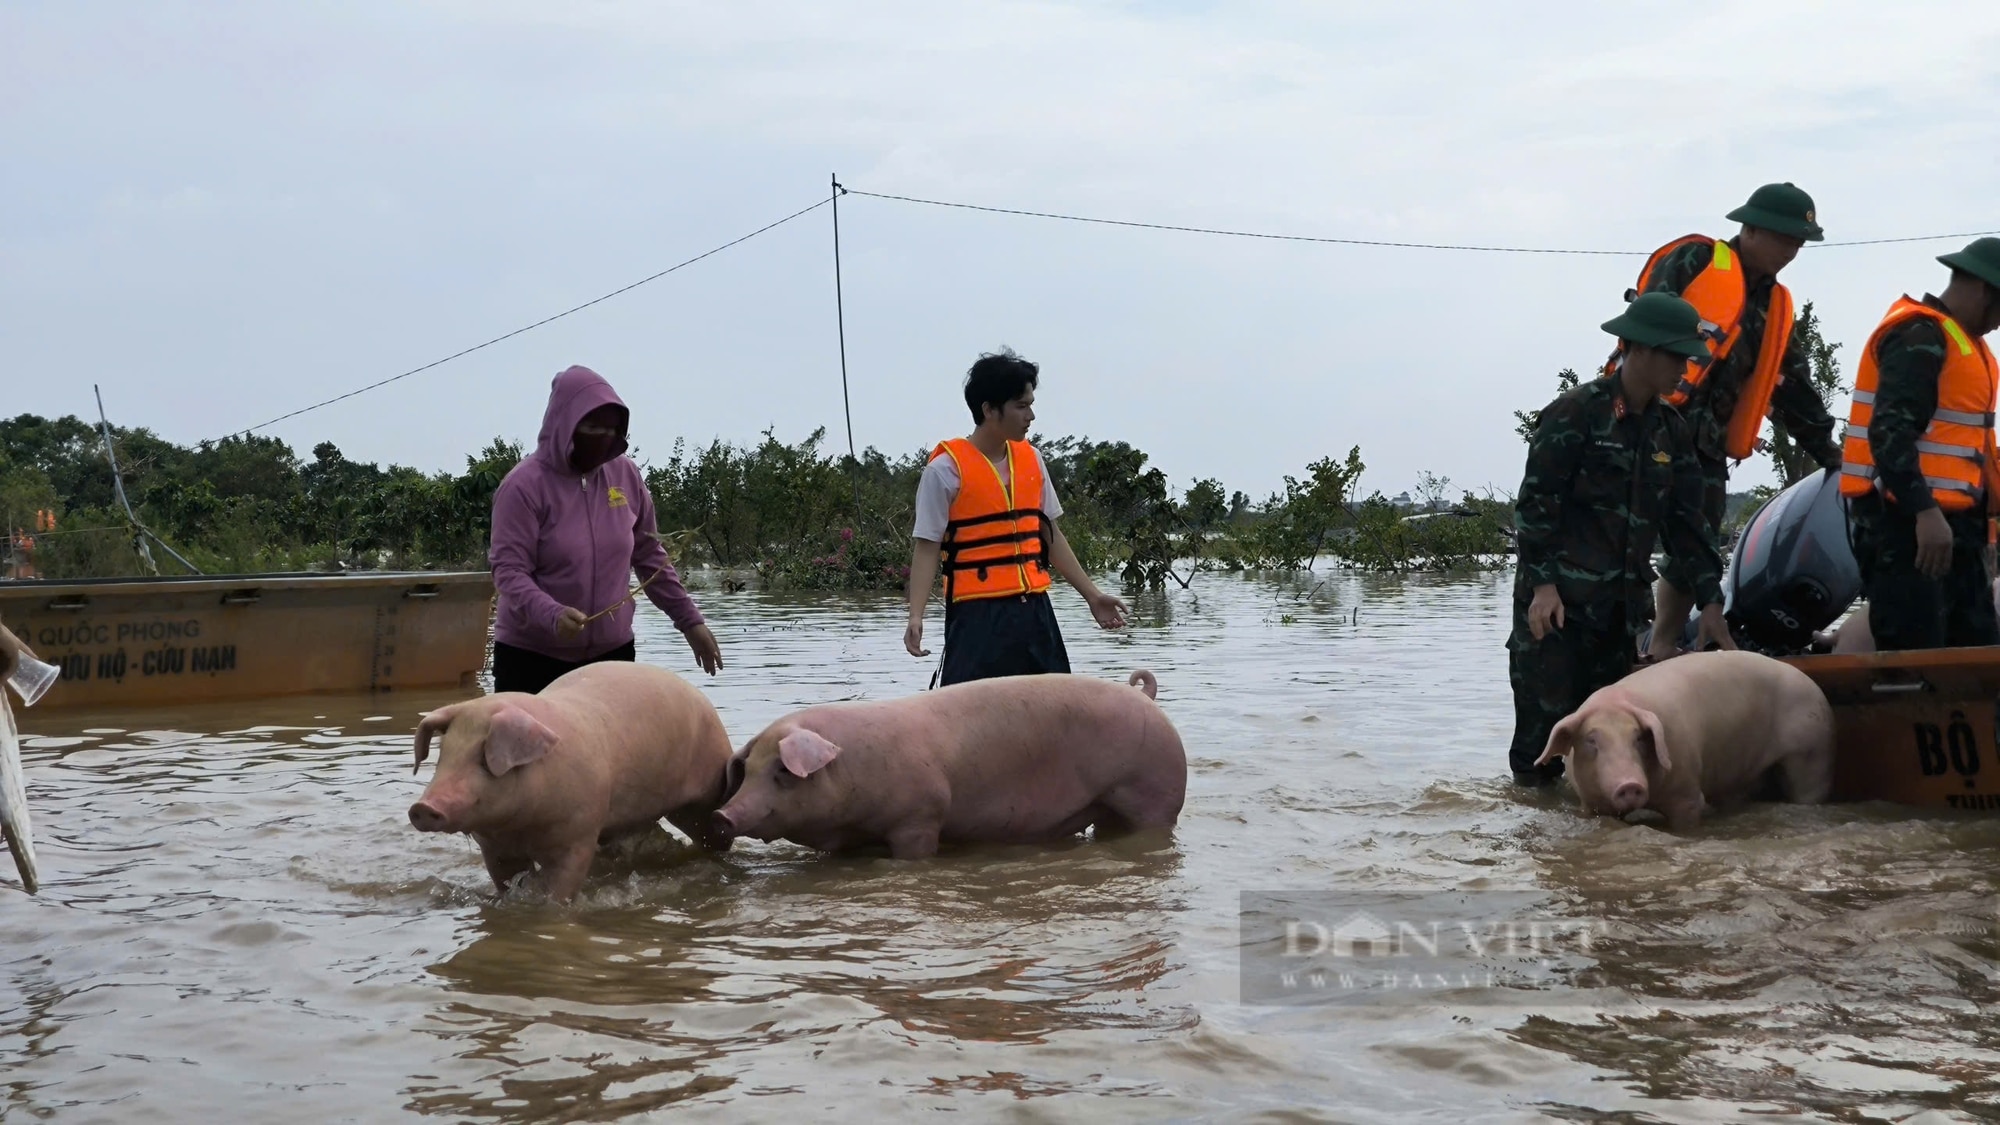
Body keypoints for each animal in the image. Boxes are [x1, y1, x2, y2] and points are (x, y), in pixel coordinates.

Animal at [408, 660, 736, 896]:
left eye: (483, 758)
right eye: (444, 754)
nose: (422, 808)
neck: (520, 828)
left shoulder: (578, 833)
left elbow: (560, 888)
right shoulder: (494, 848)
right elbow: (505, 881)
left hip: (705, 792)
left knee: (714, 835)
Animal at [712, 664, 1184, 856]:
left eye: (782, 771)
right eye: (748, 771)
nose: (722, 815)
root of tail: (1145, 697)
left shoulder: (919, 817)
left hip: (1155, 794)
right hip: (1108, 806)